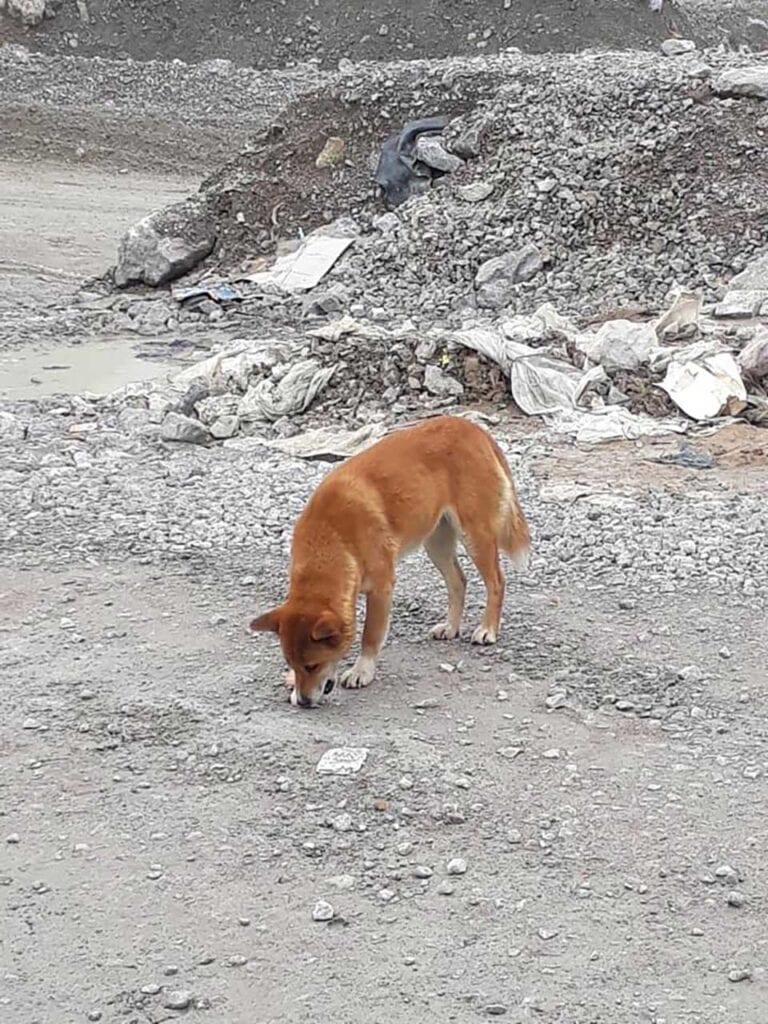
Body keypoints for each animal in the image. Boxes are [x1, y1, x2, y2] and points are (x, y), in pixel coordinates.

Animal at [249, 415, 532, 704]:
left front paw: (362, 671)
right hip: (436, 542)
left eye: (312, 666)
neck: (331, 538)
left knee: (496, 582)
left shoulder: (381, 588)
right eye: (292, 664)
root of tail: (473, 428)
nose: (304, 703)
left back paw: (488, 629)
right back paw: (451, 627)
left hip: (475, 536)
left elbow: (370, 635)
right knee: (458, 582)